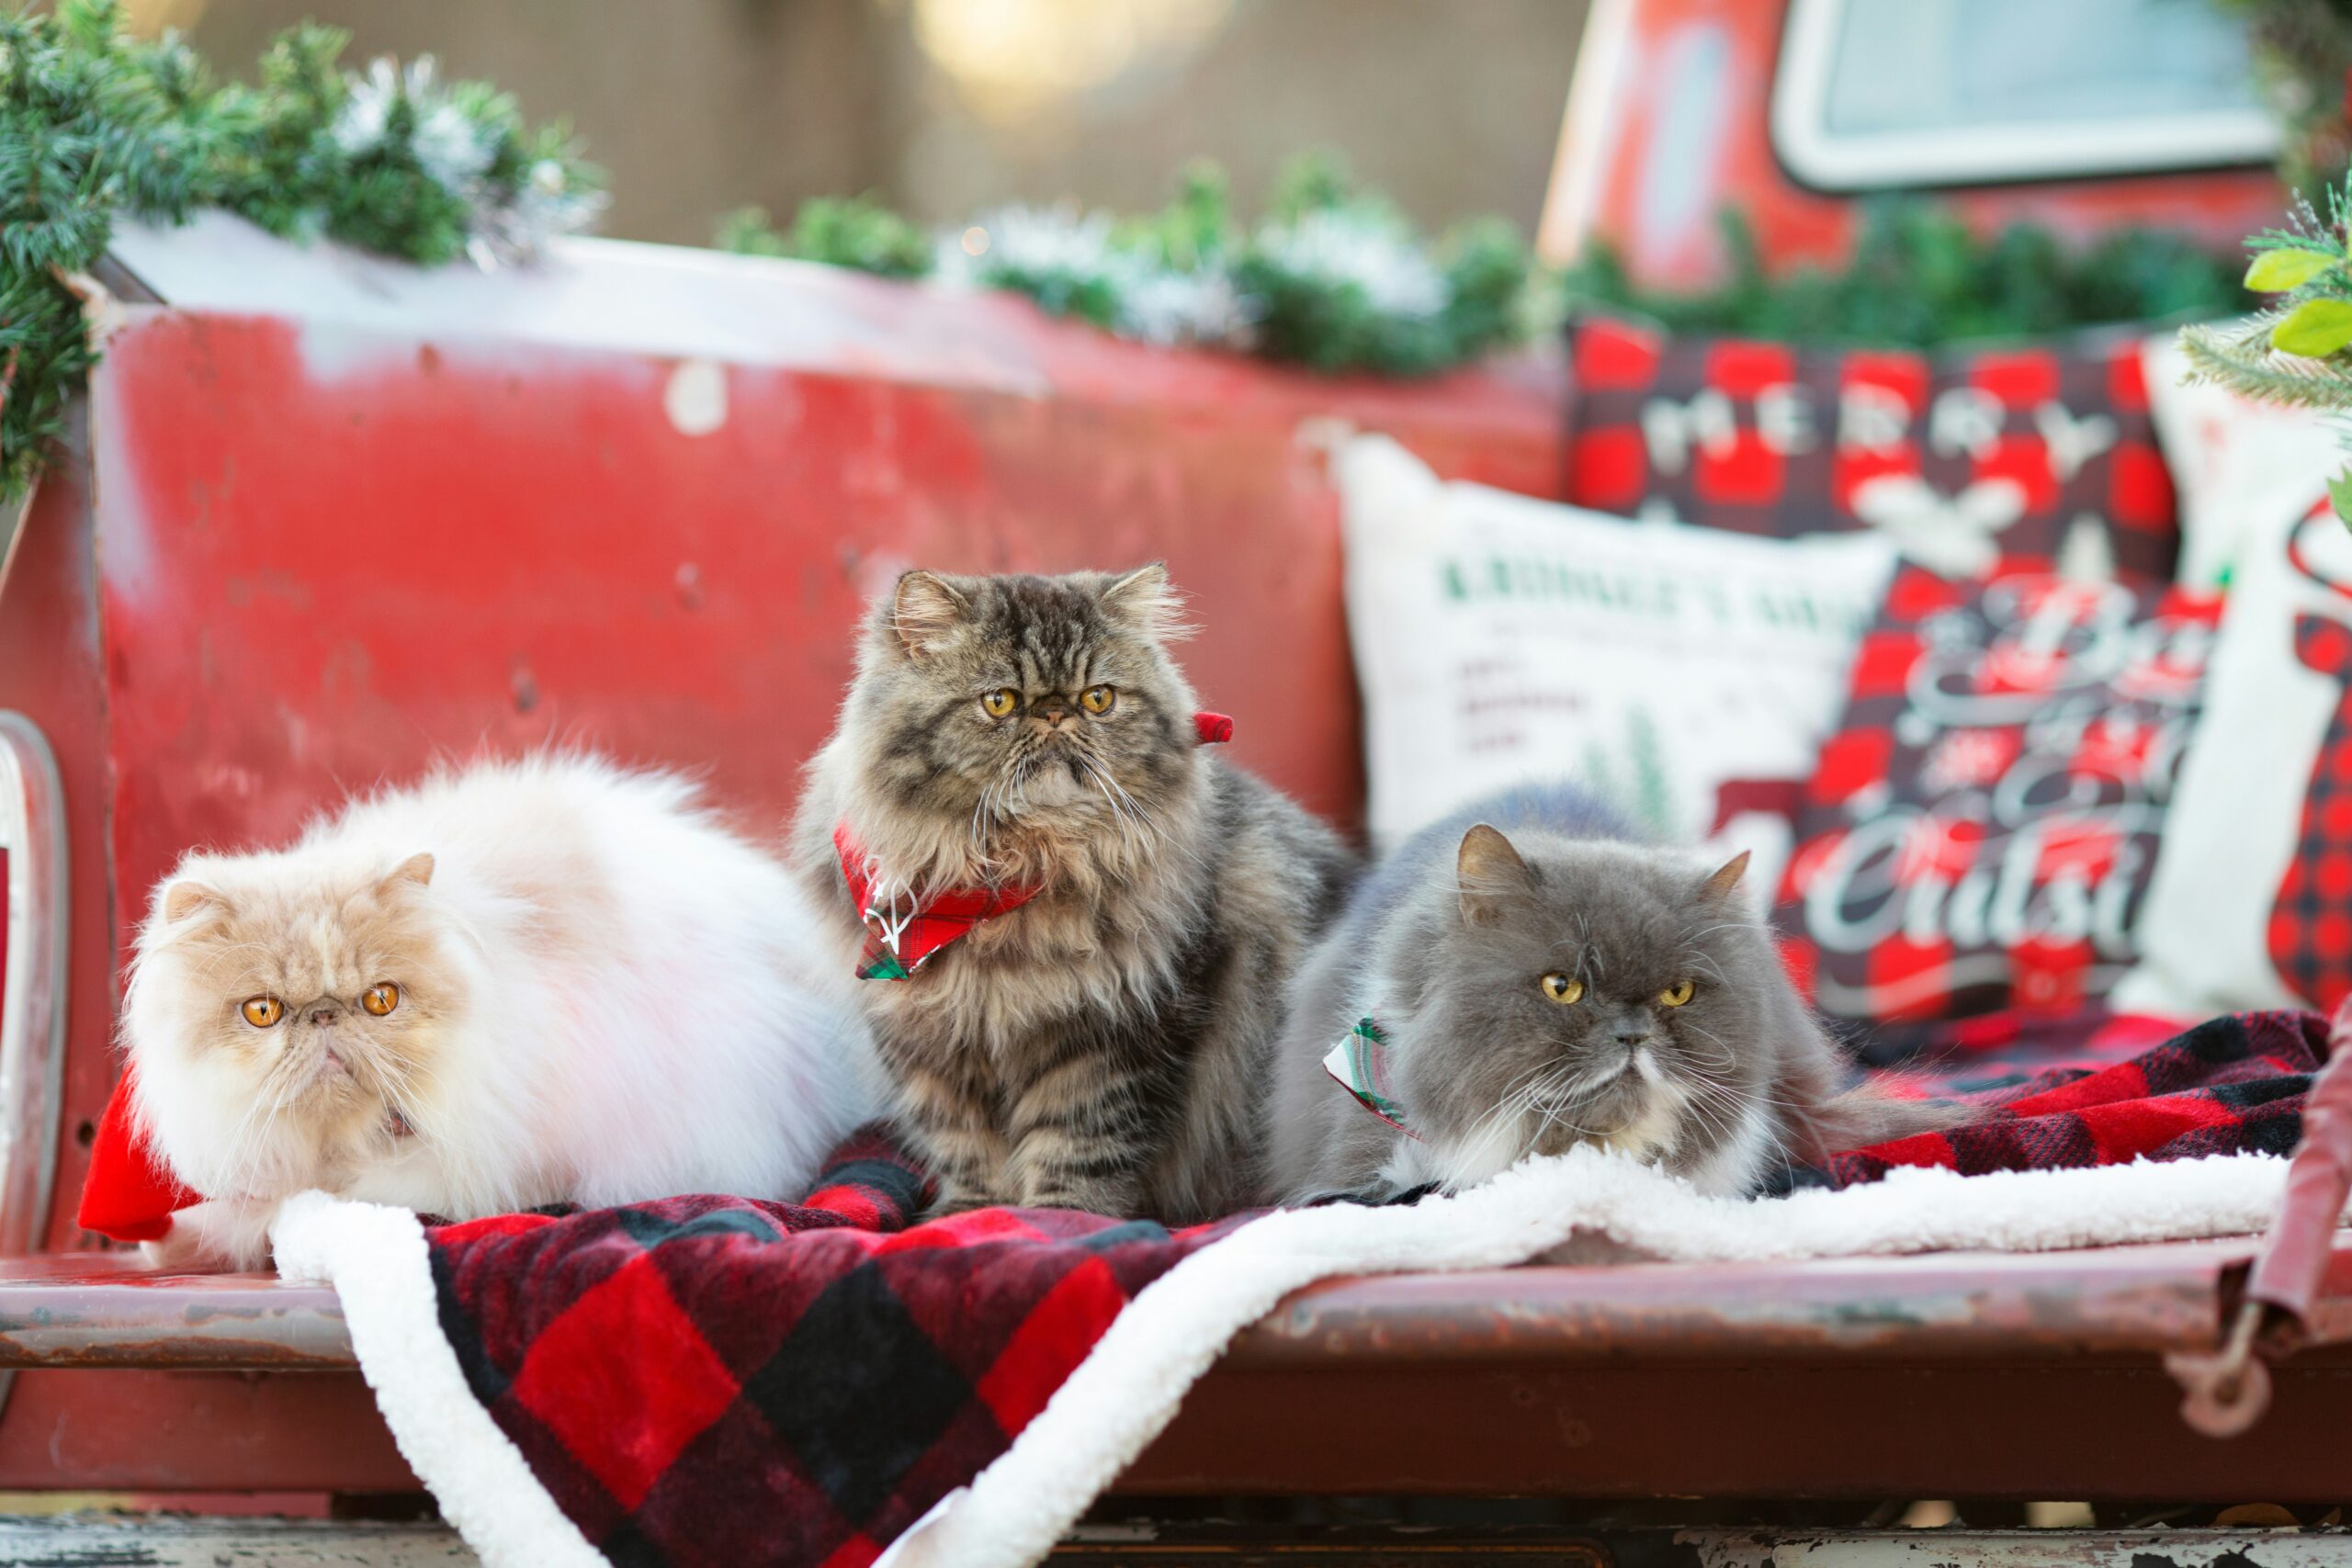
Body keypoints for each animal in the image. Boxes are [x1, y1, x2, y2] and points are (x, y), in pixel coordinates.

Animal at [790, 564, 1354, 1222]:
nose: (1057, 715)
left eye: (1098, 699)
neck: (1013, 875)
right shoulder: (931, 1048)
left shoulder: (1116, 1033)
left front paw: (1058, 1218)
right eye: (1001, 701)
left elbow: (1079, 1144)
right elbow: (963, 1147)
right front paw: (973, 1215)